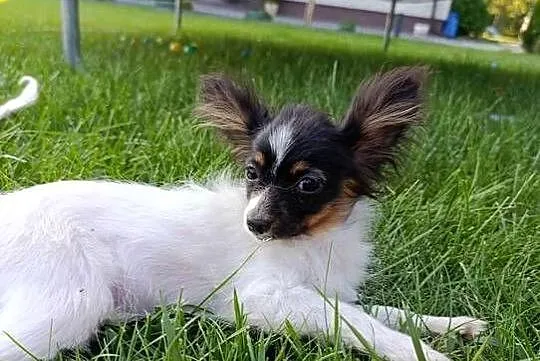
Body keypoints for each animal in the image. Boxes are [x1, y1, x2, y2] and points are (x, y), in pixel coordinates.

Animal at [0, 66, 488, 358]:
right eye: (252, 174)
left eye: (308, 184)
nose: (253, 224)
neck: (312, 238)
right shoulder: (266, 298)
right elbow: (355, 322)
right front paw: (422, 353)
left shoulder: (327, 289)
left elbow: (384, 311)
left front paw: (453, 325)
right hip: (69, 302)